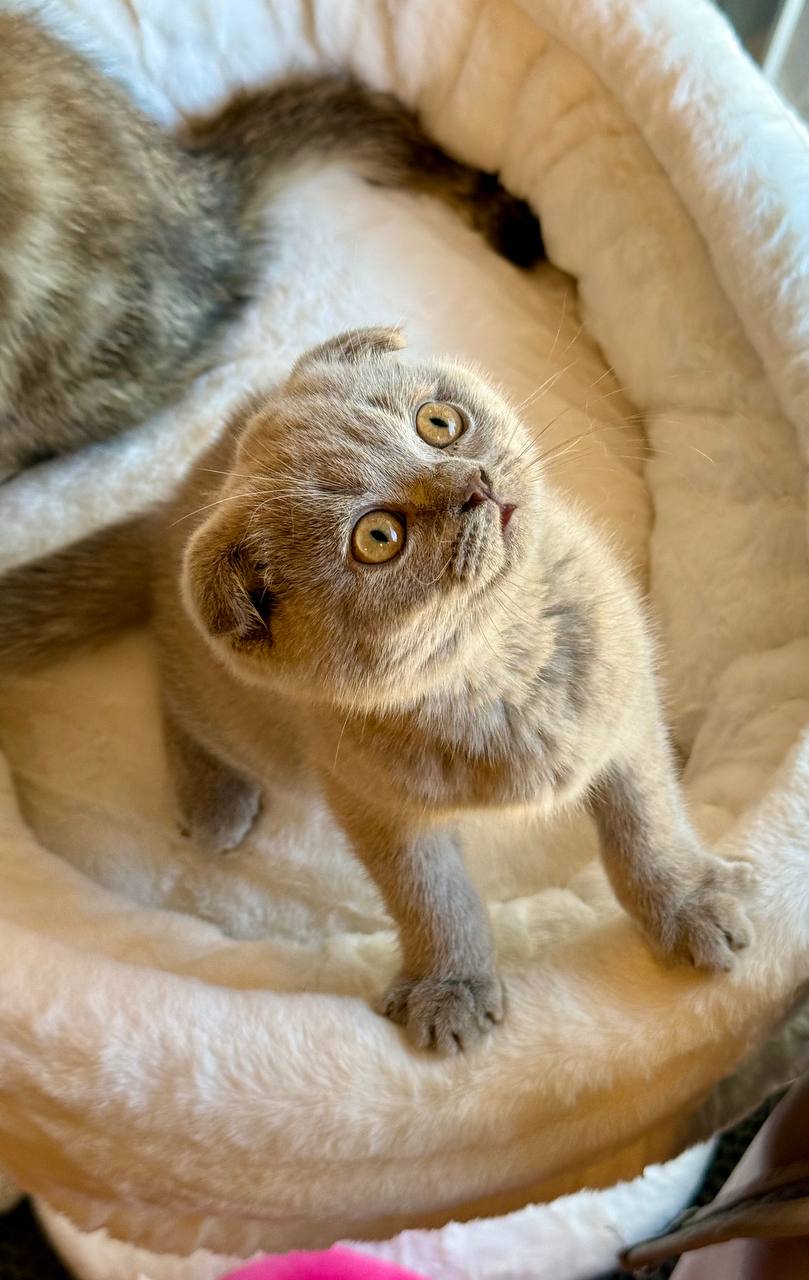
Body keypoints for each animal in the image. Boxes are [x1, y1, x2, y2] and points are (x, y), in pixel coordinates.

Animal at [0, 325, 752, 1054]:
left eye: (439, 422)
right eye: (378, 537)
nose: (473, 482)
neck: (500, 666)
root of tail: (168, 519)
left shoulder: (621, 711)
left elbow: (645, 825)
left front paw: (687, 905)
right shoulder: (373, 799)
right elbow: (430, 896)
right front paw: (451, 988)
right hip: (241, 717)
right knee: (176, 690)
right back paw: (213, 796)